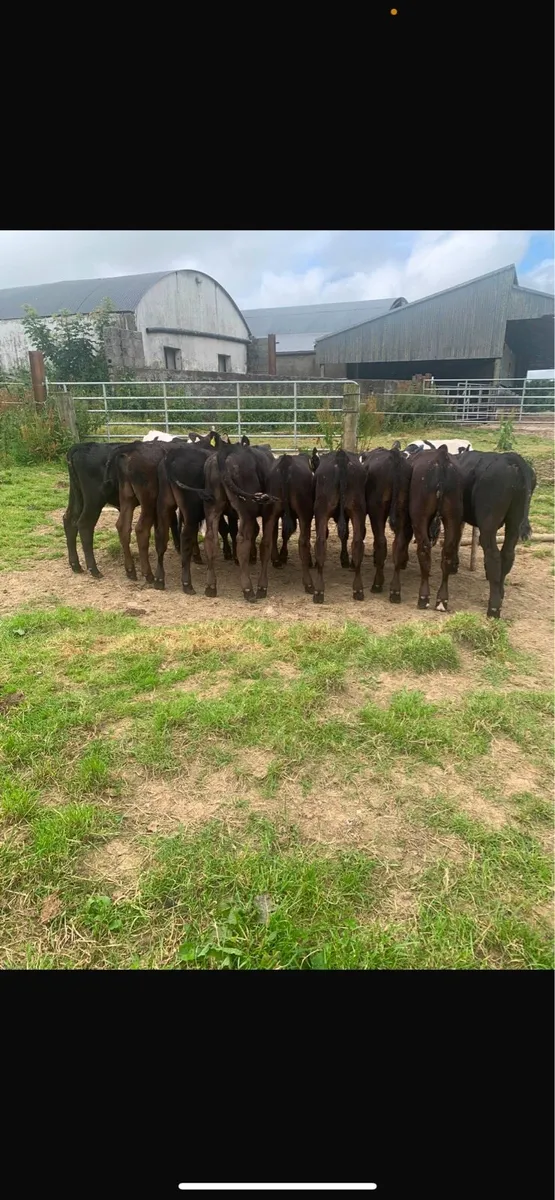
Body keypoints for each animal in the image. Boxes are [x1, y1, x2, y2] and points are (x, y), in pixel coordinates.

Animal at [63, 441, 180, 579]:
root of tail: (82, 446)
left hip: (77, 495)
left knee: (69, 520)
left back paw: (76, 565)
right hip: (95, 499)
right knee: (85, 524)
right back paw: (94, 570)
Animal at [312, 449, 366, 604]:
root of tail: (340, 456)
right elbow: (345, 535)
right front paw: (345, 559)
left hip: (321, 510)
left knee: (320, 542)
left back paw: (319, 591)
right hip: (358, 510)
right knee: (357, 543)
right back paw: (358, 589)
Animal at [359, 446, 413, 602]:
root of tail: (394, 456)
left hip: (377, 511)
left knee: (381, 542)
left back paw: (377, 584)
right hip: (402, 508)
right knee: (399, 544)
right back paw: (395, 590)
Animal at [408, 445, 464, 612]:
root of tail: (441, 456)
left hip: (419, 516)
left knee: (424, 550)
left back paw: (423, 597)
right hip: (453, 517)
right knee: (448, 551)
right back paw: (442, 600)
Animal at [451, 450, 536, 618]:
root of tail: (510, 457)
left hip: (488, 524)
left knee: (493, 556)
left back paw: (493, 608)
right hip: (514, 522)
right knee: (507, 554)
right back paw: (500, 594)